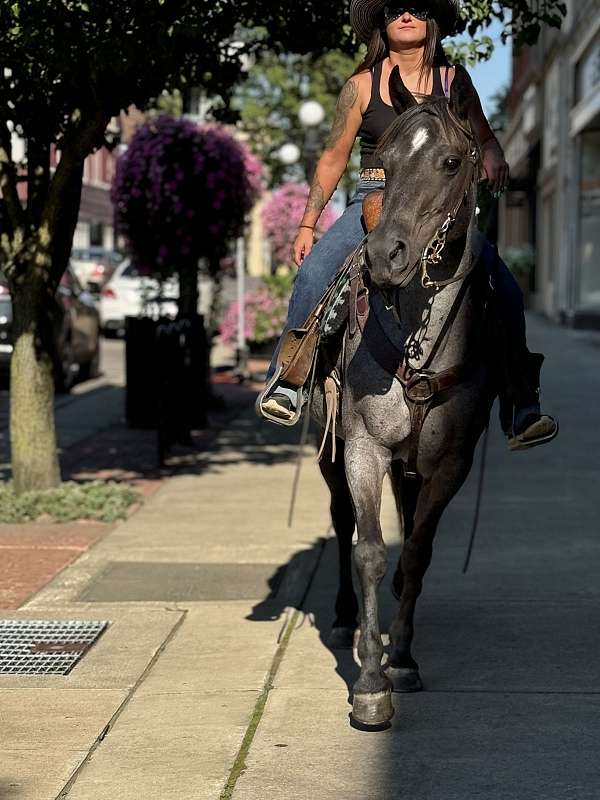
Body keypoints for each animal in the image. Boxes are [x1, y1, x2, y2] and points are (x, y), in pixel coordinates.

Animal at [312, 73, 494, 732]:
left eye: (451, 161)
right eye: (383, 164)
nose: (383, 256)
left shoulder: (452, 459)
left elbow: (416, 551)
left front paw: (405, 658)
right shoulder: (363, 446)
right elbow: (368, 548)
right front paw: (370, 684)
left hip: (413, 462)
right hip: (331, 451)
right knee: (341, 520)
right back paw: (347, 616)